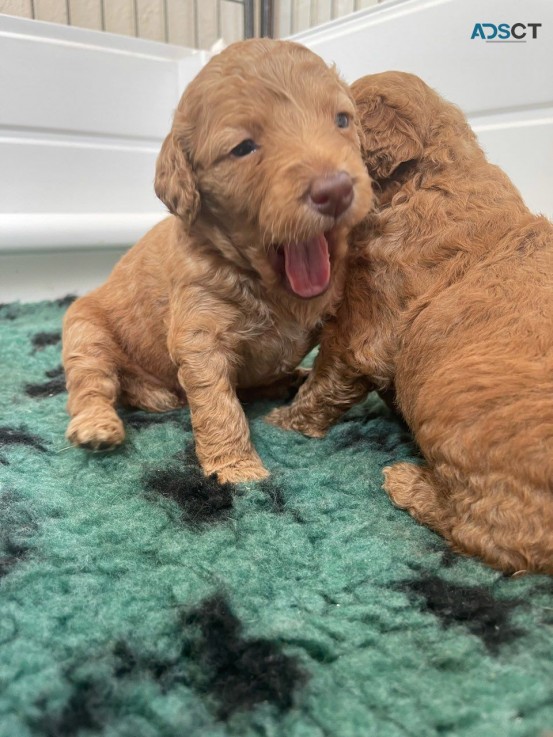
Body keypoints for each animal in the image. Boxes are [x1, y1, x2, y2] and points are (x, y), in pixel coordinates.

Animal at [61, 38, 370, 484]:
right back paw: (99, 424)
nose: (335, 191)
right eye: (243, 148)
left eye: (342, 120)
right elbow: (218, 403)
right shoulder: (199, 331)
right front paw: (237, 468)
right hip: (85, 330)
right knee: (93, 383)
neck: (269, 284)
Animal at [268, 70, 552, 576]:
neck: (425, 177)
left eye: (337, 120)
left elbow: (325, 381)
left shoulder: (364, 328)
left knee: (490, 533)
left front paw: (284, 420)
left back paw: (407, 483)